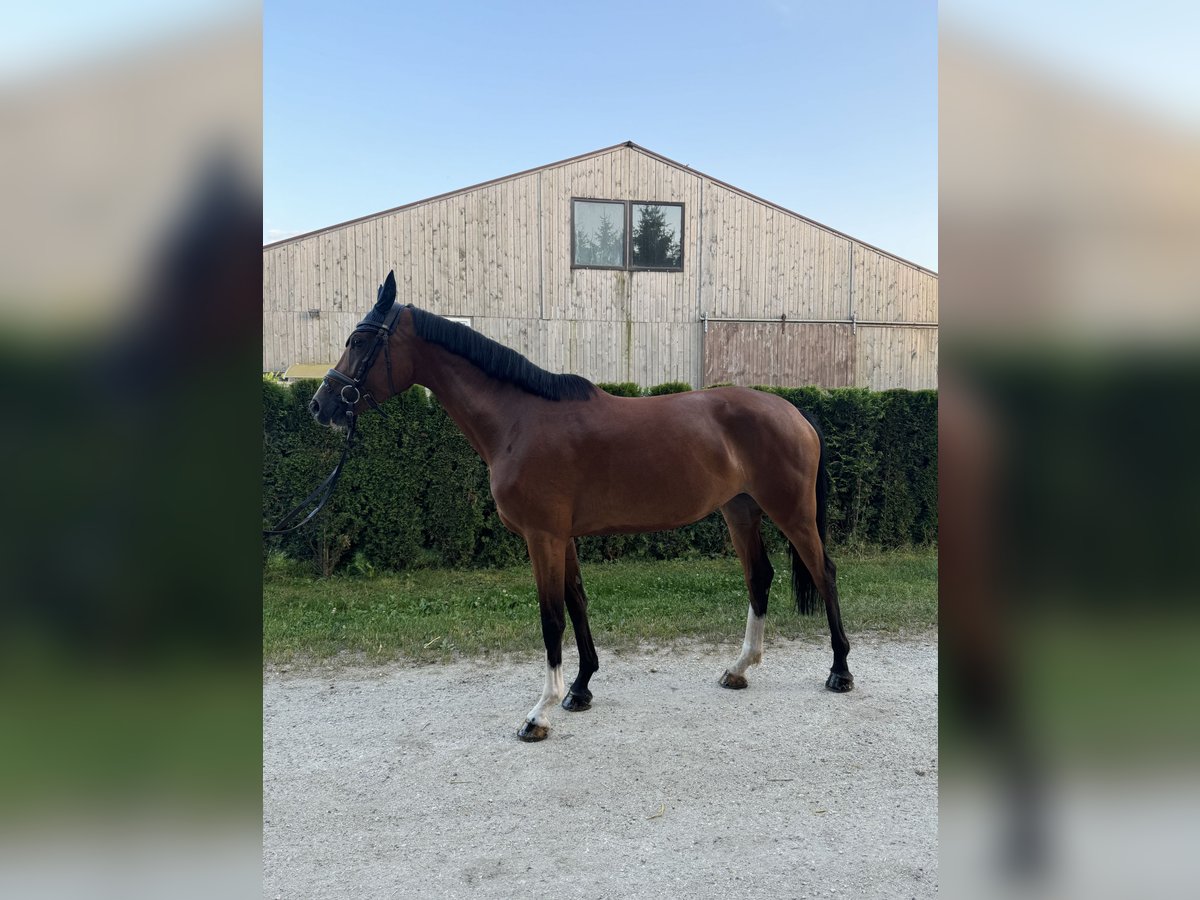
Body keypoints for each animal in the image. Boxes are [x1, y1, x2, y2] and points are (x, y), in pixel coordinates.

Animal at [309, 271, 854, 744]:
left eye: (358, 341)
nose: (320, 405)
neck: (518, 420)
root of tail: (794, 410)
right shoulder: (561, 536)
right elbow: (576, 602)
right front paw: (580, 688)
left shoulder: (542, 537)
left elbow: (551, 616)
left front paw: (539, 714)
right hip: (740, 511)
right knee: (759, 577)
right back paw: (739, 669)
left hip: (792, 513)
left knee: (823, 571)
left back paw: (840, 671)